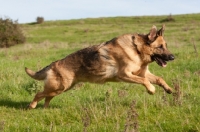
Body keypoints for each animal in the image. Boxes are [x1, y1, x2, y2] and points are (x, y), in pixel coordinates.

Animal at [25, 24, 175, 108]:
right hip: (60, 87)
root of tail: (53, 64)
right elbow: (144, 81)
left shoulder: (143, 73)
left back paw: (45, 109)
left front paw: (168, 89)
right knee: (39, 94)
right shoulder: (125, 75)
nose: (173, 57)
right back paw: (32, 106)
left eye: (165, 46)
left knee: (46, 97)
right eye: (160, 47)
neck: (136, 49)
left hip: (62, 88)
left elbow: (159, 79)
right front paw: (151, 90)